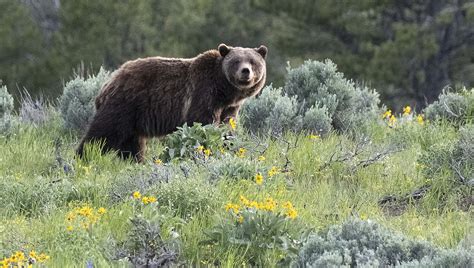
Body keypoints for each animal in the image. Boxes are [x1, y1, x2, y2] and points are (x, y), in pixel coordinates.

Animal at [76, 44, 264, 161]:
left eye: (253, 62)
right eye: (236, 61)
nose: (245, 71)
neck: (223, 90)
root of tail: (108, 83)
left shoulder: (229, 107)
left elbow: (227, 127)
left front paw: (229, 146)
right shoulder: (202, 93)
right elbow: (201, 124)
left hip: (133, 118)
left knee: (132, 144)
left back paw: (136, 161)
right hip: (124, 105)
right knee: (103, 134)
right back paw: (83, 157)